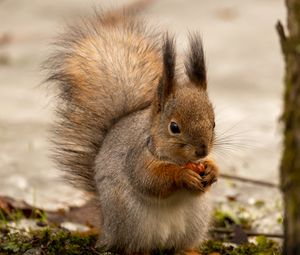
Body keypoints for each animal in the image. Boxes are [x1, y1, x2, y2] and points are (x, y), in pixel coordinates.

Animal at [47, 9, 219, 255]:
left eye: (213, 124)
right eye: (174, 127)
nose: (202, 151)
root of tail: (107, 229)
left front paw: (212, 170)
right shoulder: (137, 157)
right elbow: (150, 180)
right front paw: (183, 175)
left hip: (196, 221)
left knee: (180, 246)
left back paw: (191, 251)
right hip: (132, 220)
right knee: (133, 247)